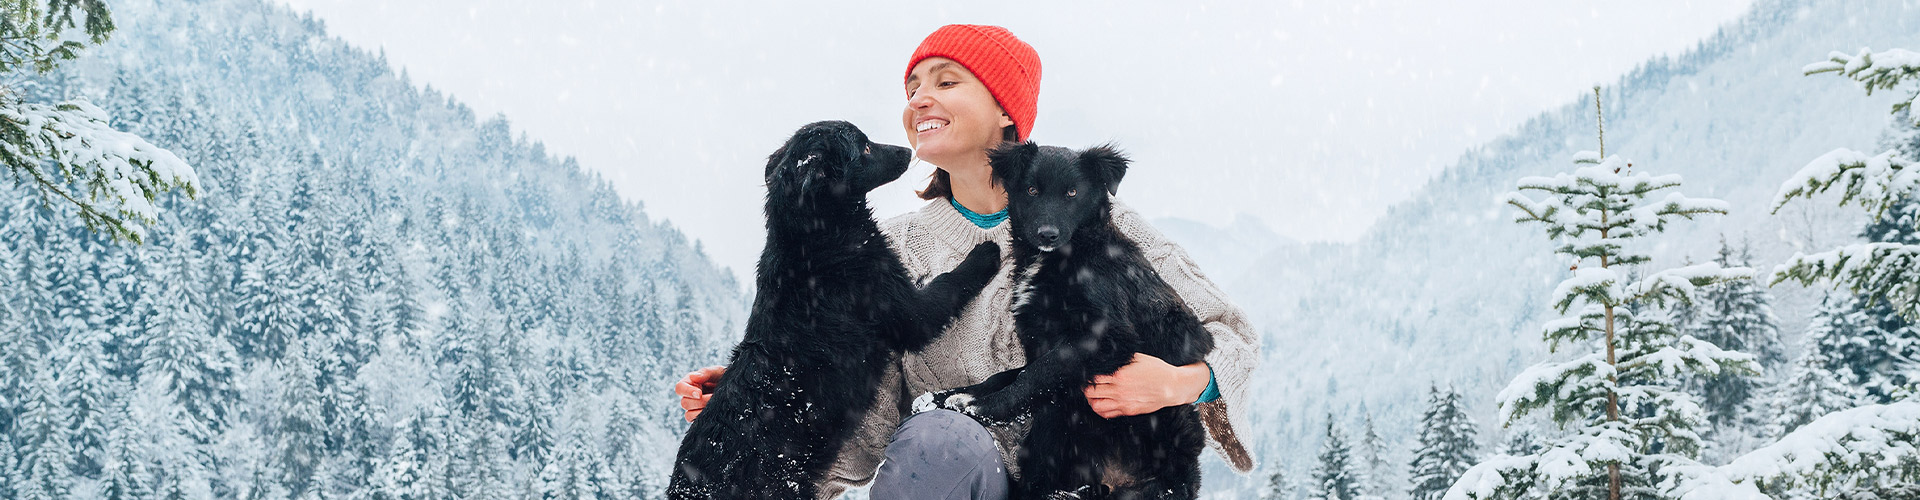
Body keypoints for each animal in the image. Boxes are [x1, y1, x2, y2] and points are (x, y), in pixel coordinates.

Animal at [672, 122, 1006, 500]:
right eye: (864, 148)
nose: (908, 150)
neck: (814, 239)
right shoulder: (904, 310)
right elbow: (948, 283)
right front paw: (985, 253)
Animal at [921, 142, 1205, 496]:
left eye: (1072, 192)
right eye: (1032, 190)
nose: (1047, 234)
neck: (1063, 258)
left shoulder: (1106, 337)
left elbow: (1032, 376)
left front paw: (981, 408)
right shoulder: (1041, 341)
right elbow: (1007, 376)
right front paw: (947, 398)